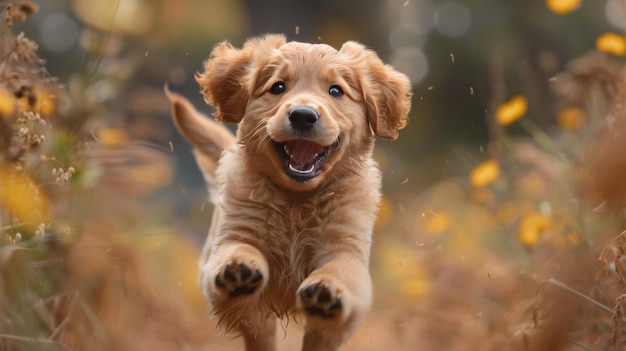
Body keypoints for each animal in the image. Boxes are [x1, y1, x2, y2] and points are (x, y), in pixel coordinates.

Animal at [166, 33, 410, 351]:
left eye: (336, 90)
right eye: (278, 87)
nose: (303, 116)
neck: (296, 200)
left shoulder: (347, 249)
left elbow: (341, 271)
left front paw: (327, 289)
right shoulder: (232, 235)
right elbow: (237, 248)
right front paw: (237, 267)